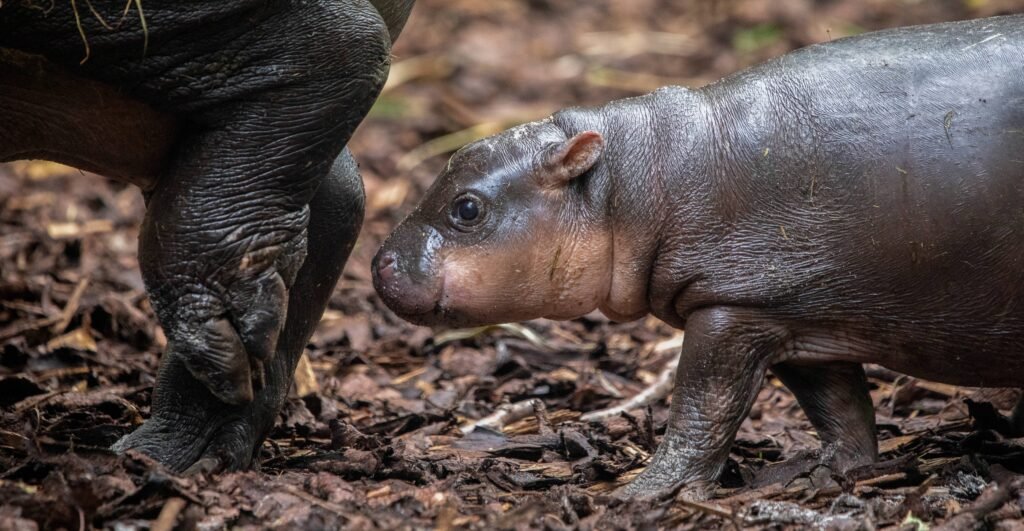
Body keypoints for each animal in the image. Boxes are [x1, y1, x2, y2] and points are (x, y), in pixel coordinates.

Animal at [373, 14, 1024, 496]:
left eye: (467, 209)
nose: (380, 262)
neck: (633, 182)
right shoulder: (794, 313)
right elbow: (840, 409)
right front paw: (826, 475)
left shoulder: (731, 310)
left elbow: (702, 407)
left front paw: (641, 492)